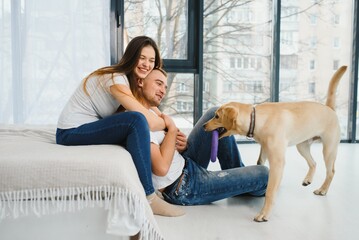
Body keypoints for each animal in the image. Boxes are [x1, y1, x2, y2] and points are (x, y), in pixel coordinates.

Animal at [205, 65, 348, 221]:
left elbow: (270, 190)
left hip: (329, 149)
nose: (203, 126)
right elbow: (260, 163)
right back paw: (308, 179)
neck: (256, 118)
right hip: (302, 146)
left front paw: (264, 213)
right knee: (313, 163)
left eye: (216, 116)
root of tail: (329, 109)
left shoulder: (277, 161)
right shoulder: (264, 149)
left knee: (331, 171)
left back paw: (323, 189)